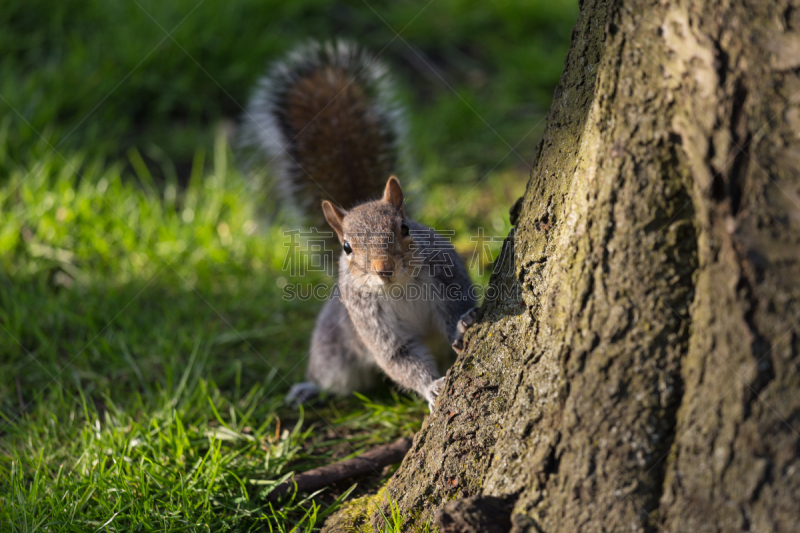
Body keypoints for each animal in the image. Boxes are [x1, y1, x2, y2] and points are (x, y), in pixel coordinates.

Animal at [244, 41, 476, 412]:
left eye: (405, 228)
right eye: (347, 247)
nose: (384, 268)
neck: (398, 288)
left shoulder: (447, 276)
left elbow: (457, 310)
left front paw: (464, 325)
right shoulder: (370, 319)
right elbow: (398, 357)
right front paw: (431, 387)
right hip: (334, 349)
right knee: (331, 378)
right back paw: (309, 389)